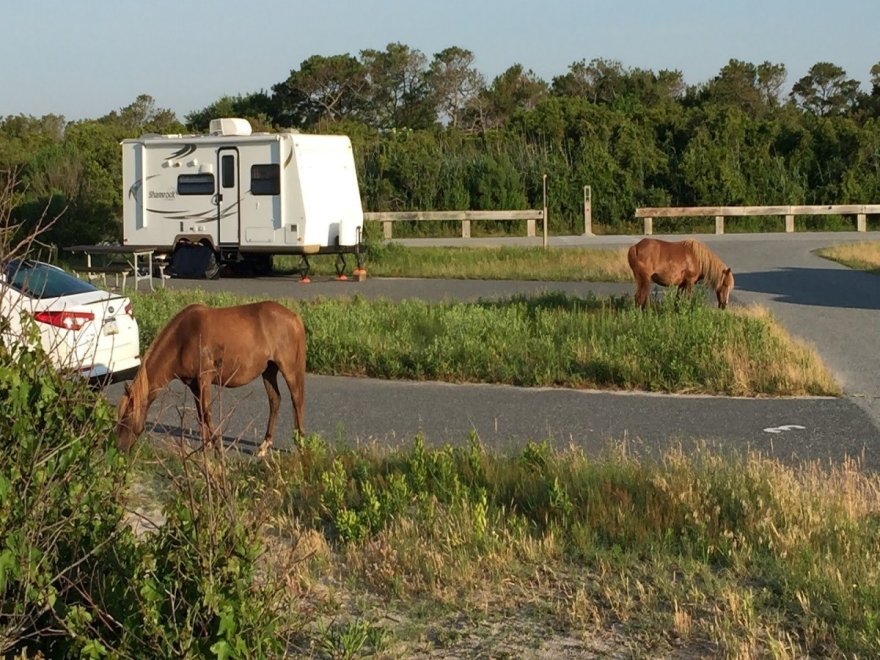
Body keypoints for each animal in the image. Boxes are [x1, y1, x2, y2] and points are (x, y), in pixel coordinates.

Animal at [114, 302, 306, 456]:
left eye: (126, 417)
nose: (119, 448)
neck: (182, 338)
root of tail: (294, 317)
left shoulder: (204, 379)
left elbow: (207, 413)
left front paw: (218, 449)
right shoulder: (193, 384)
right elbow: (201, 414)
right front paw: (205, 449)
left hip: (289, 369)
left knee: (297, 400)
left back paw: (300, 445)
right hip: (269, 370)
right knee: (275, 400)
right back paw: (265, 446)